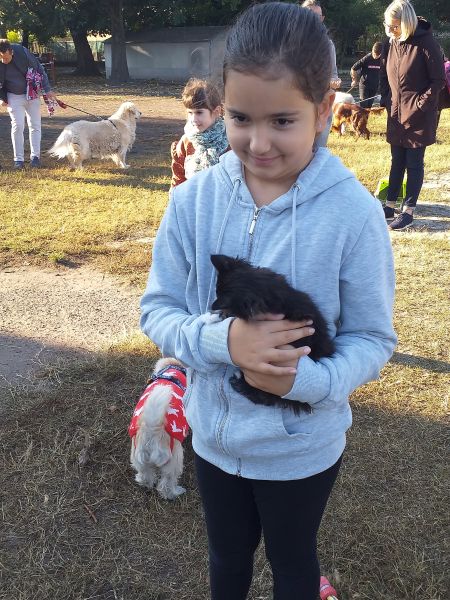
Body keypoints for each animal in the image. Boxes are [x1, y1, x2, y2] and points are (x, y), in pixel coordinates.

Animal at [129, 358, 188, 500]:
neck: (173, 368)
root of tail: (151, 429)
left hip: (139, 459)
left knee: (145, 476)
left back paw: (144, 483)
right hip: (173, 460)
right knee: (167, 483)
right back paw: (175, 493)